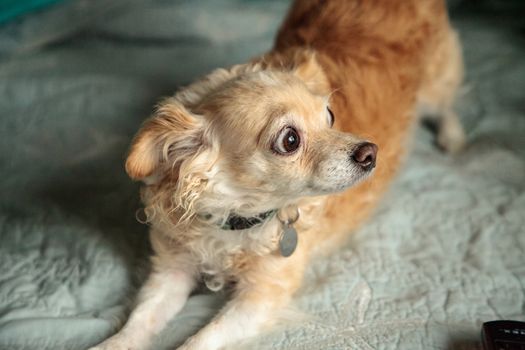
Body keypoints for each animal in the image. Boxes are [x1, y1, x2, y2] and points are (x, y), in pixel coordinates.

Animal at [90, 0, 462, 350]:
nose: (370, 153)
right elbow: (141, 319)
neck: (237, 219)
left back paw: (453, 136)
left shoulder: (261, 296)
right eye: (290, 140)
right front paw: (111, 344)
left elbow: (200, 339)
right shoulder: (171, 270)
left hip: (437, 79)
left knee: (446, 103)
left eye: (329, 117)